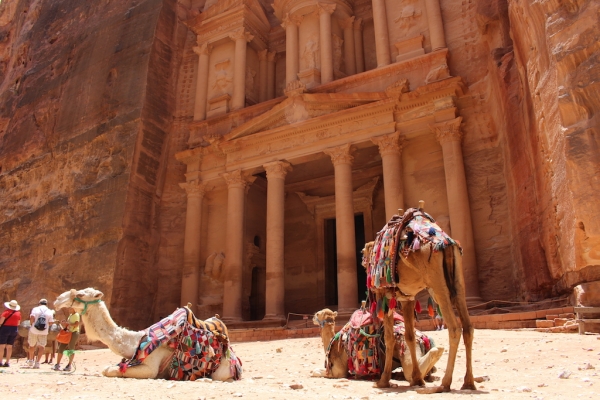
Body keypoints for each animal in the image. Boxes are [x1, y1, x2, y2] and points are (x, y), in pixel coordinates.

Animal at [52, 290, 239, 380]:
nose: (57, 300)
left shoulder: (150, 367)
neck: (136, 341)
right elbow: (110, 368)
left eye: (80, 294)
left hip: (222, 371)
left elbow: (110, 370)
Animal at [312, 308, 442, 380]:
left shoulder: (339, 371)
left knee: (410, 371)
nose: (313, 316)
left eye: (318, 314)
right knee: (432, 369)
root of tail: (422, 337)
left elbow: (316, 371)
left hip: (405, 346)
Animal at [364, 205, 476, 392]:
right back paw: (468, 382)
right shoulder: (407, 298)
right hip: (458, 283)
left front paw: (383, 380)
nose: (364, 264)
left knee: (454, 328)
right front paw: (417, 379)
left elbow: (389, 338)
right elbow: (409, 335)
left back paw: (444, 383)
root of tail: (447, 243)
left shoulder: (384, 295)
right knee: (468, 327)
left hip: (437, 284)